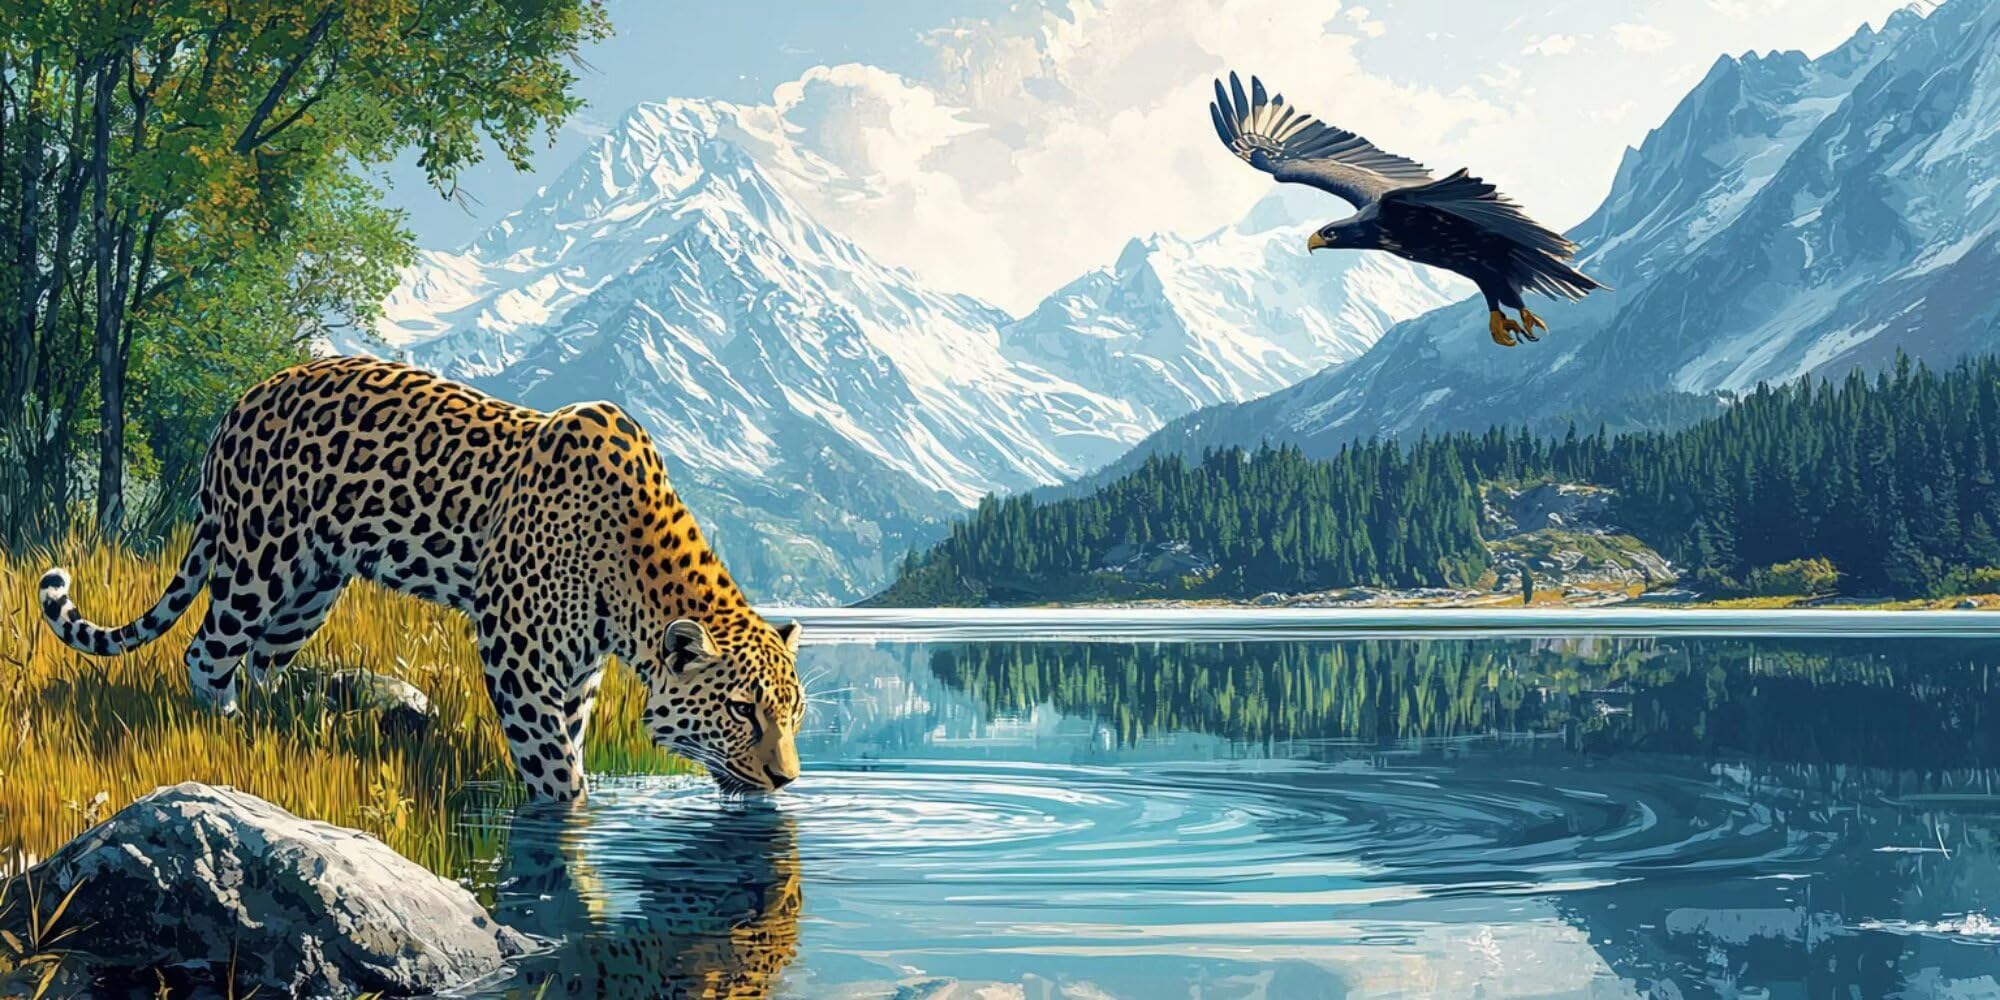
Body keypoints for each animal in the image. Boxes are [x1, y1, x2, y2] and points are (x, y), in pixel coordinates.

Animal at [38, 356, 805, 801]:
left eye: (794, 714)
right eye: (742, 709)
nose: (787, 779)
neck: (632, 584)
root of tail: (242, 401)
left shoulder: (577, 674)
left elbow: (574, 743)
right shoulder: (516, 653)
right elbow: (554, 768)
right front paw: (567, 829)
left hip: (311, 589)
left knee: (261, 660)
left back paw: (279, 730)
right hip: (259, 560)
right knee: (207, 651)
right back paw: (223, 736)